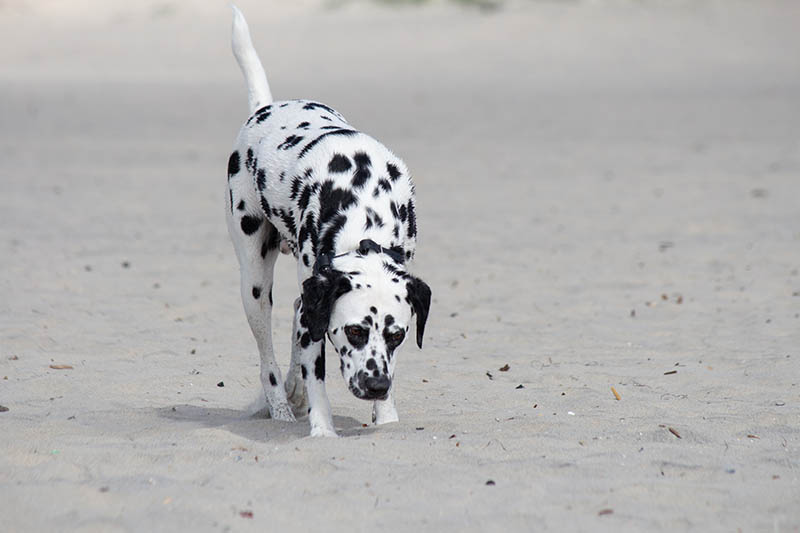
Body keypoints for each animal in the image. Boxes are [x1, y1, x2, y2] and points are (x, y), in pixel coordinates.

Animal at [225, 7, 432, 436]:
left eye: (397, 334)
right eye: (354, 330)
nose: (376, 385)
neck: (364, 213)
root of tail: (264, 109)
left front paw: (387, 420)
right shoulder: (314, 318)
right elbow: (315, 375)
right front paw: (322, 431)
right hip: (254, 284)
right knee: (269, 360)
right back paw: (281, 407)